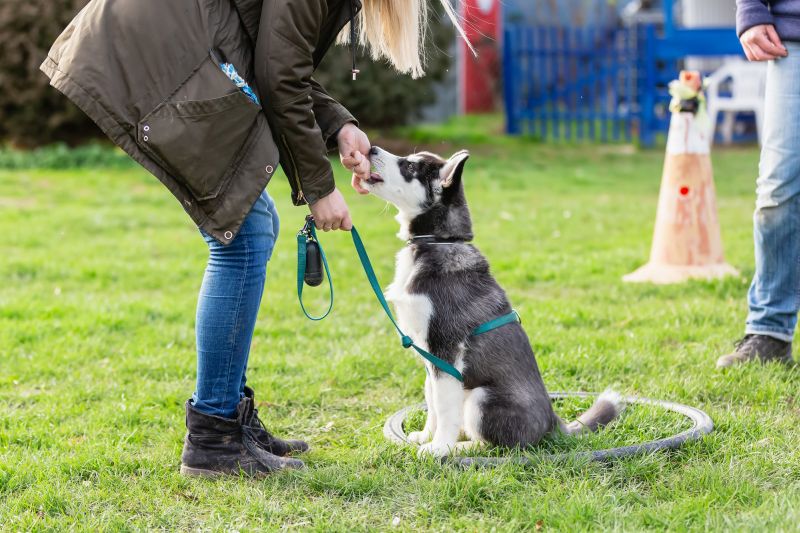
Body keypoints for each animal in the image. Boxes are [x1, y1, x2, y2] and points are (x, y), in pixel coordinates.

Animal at [362, 147, 624, 458]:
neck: (437, 242)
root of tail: (553, 421)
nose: (371, 149)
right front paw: (426, 436)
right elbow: (431, 400)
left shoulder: (446, 351)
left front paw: (439, 447)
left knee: (500, 446)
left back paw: (462, 446)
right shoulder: (429, 357)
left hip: (481, 397)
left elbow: (444, 408)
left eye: (410, 166)